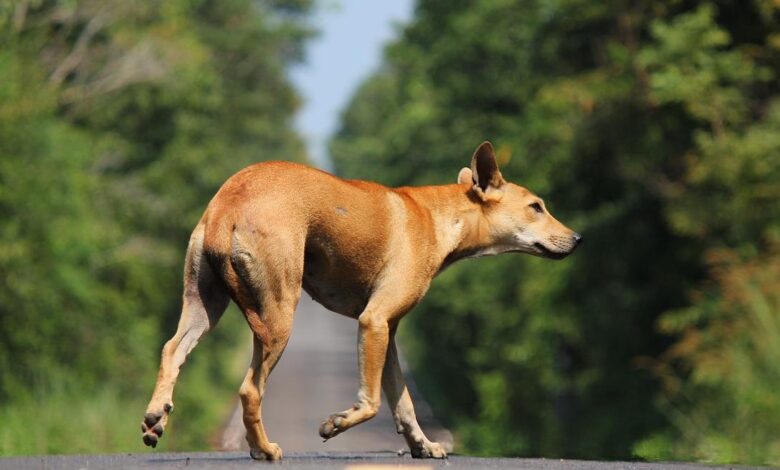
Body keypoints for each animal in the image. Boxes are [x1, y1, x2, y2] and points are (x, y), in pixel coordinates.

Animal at [140, 140, 580, 458]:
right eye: (536, 206)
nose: (577, 238)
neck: (442, 216)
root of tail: (227, 203)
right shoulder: (374, 321)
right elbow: (371, 402)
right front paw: (335, 424)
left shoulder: (388, 331)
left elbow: (403, 402)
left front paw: (423, 446)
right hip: (279, 315)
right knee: (250, 390)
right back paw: (263, 449)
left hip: (204, 306)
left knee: (171, 350)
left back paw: (155, 417)